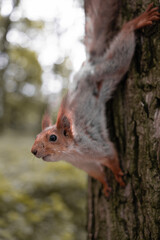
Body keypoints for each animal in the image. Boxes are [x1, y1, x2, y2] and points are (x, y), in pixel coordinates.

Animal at [31, 1, 160, 196]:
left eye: (53, 138)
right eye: (37, 136)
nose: (33, 151)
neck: (72, 154)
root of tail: (89, 65)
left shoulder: (97, 146)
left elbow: (111, 156)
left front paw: (117, 174)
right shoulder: (87, 165)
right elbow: (98, 173)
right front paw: (106, 185)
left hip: (110, 69)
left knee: (121, 51)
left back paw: (136, 22)